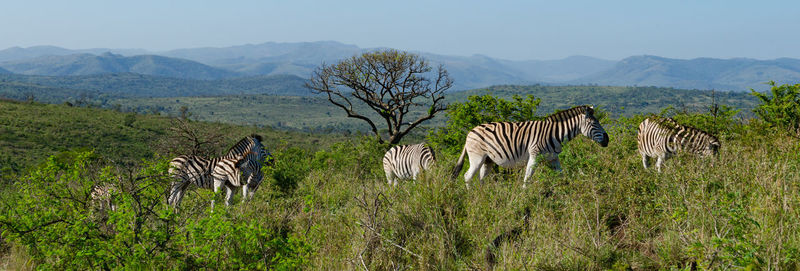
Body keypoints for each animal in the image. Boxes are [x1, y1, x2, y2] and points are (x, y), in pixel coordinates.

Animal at [450, 106, 608, 189]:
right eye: (594, 123)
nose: (608, 140)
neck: (554, 134)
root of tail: (470, 132)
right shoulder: (535, 154)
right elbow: (527, 178)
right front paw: (525, 196)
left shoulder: (553, 158)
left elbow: (561, 175)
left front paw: (566, 189)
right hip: (477, 157)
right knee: (467, 176)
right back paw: (472, 196)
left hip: (488, 160)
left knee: (481, 178)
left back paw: (483, 196)